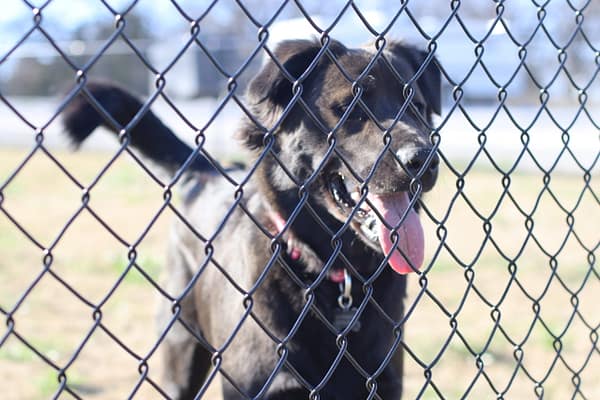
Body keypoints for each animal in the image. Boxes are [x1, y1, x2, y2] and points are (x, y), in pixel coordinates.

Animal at [63, 38, 440, 400]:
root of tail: (209, 173)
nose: (425, 159)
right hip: (180, 353)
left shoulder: (383, 384)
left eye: (417, 107)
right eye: (351, 107)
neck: (332, 275)